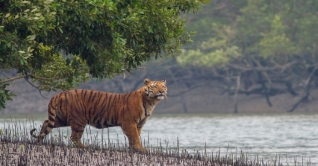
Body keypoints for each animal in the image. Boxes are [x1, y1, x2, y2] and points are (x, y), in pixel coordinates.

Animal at [30, 78, 168, 152]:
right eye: (154, 86)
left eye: (163, 86)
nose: (162, 91)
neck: (150, 102)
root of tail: (59, 94)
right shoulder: (129, 123)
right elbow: (135, 137)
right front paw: (140, 149)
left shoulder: (139, 124)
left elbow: (135, 137)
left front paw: (133, 149)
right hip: (79, 120)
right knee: (74, 137)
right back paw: (85, 147)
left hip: (62, 119)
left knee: (46, 123)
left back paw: (40, 141)